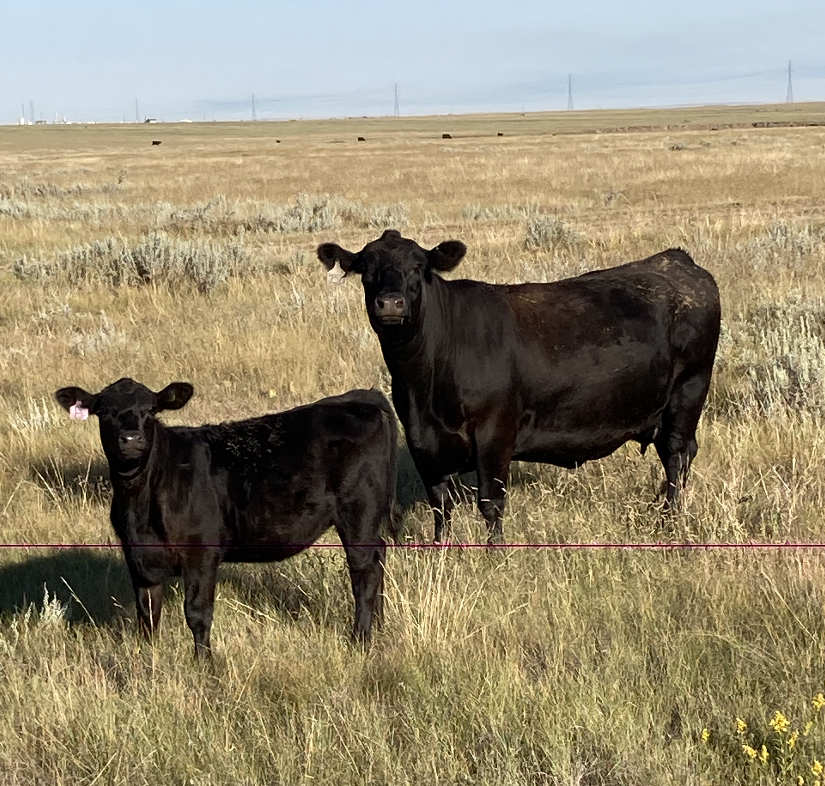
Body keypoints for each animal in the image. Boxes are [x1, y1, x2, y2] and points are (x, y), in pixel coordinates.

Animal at [54, 378, 396, 656]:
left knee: (364, 572)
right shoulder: (137, 557)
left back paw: (360, 639)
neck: (142, 498)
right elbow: (148, 614)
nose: (131, 439)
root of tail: (360, 397)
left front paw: (203, 663)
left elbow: (197, 612)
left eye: (151, 410)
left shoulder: (202, 552)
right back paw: (378, 629)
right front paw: (148, 659)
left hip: (358, 513)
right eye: (104, 411)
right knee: (378, 559)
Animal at [317, 230, 721, 544]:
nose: (391, 303)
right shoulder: (422, 442)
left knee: (676, 456)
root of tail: (676, 260)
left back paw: (668, 522)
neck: (424, 381)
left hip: (688, 392)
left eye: (419, 266)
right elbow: (440, 505)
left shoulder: (495, 434)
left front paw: (496, 556)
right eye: (366, 269)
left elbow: (491, 502)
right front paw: (441, 550)